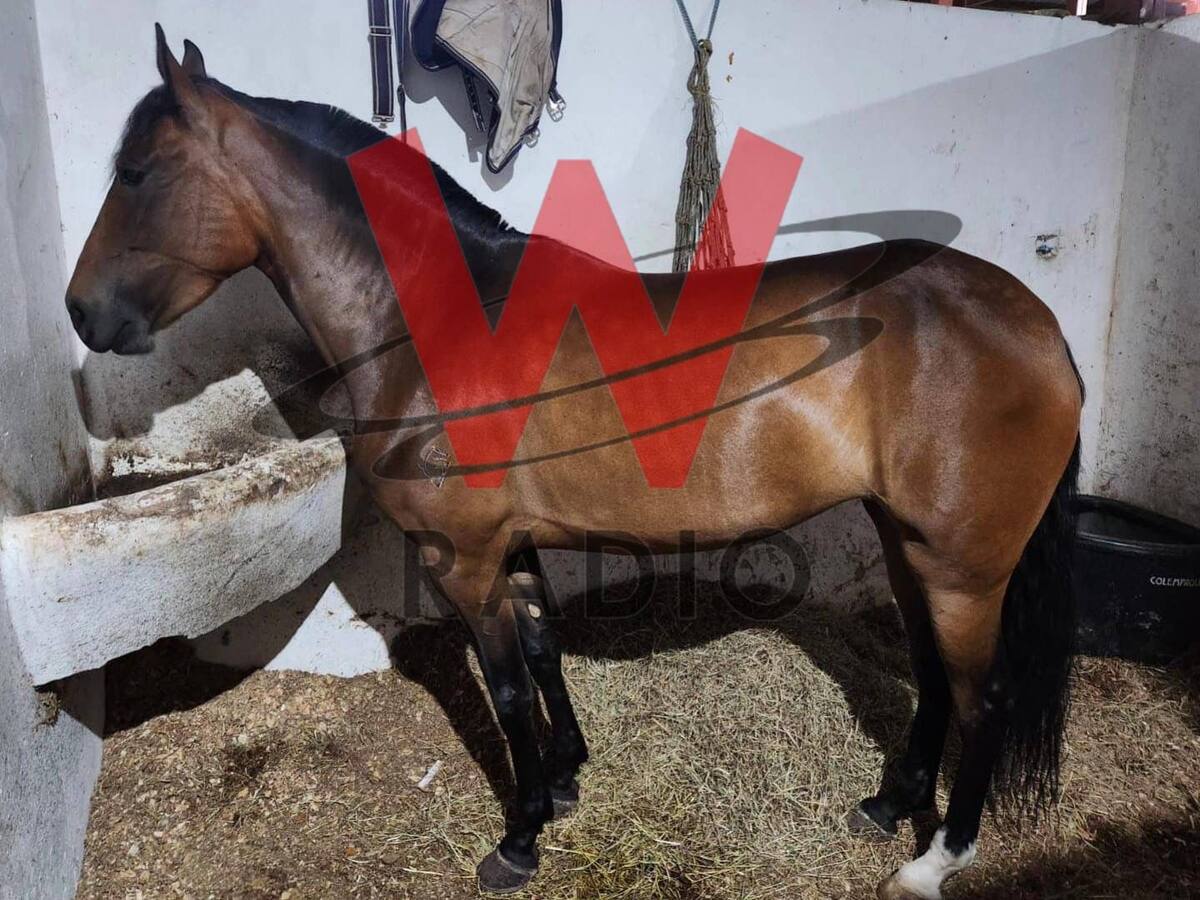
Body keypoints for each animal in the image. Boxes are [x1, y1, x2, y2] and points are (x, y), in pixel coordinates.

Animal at [65, 27, 1083, 900]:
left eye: (138, 171)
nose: (81, 311)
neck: (440, 319)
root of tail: (1033, 323)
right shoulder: (509, 544)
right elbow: (543, 652)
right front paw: (562, 782)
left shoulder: (462, 556)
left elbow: (509, 687)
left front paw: (517, 841)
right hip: (908, 542)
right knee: (932, 675)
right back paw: (889, 804)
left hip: (963, 566)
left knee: (984, 695)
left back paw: (936, 859)